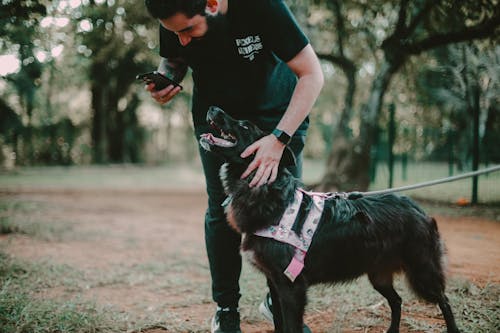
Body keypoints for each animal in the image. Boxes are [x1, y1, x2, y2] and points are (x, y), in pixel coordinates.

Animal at [199, 106, 460, 332]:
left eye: (244, 125)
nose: (212, 108)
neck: (267, 191)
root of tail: (418, 209)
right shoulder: (274, 282)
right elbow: (279, 325)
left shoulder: (291, 287)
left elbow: (291, 327)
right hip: (378, 274)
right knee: (397, 301)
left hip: (422, 271)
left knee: (444, 300)